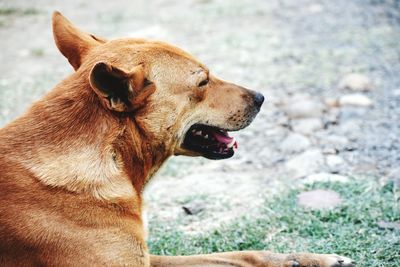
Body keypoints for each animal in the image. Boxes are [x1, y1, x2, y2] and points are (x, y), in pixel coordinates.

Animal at [0, 12, 356, 267]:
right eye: (203, 82)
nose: (261, 97)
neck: (106, 156)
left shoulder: (145, 257)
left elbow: (239, 255)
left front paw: (306, 259)